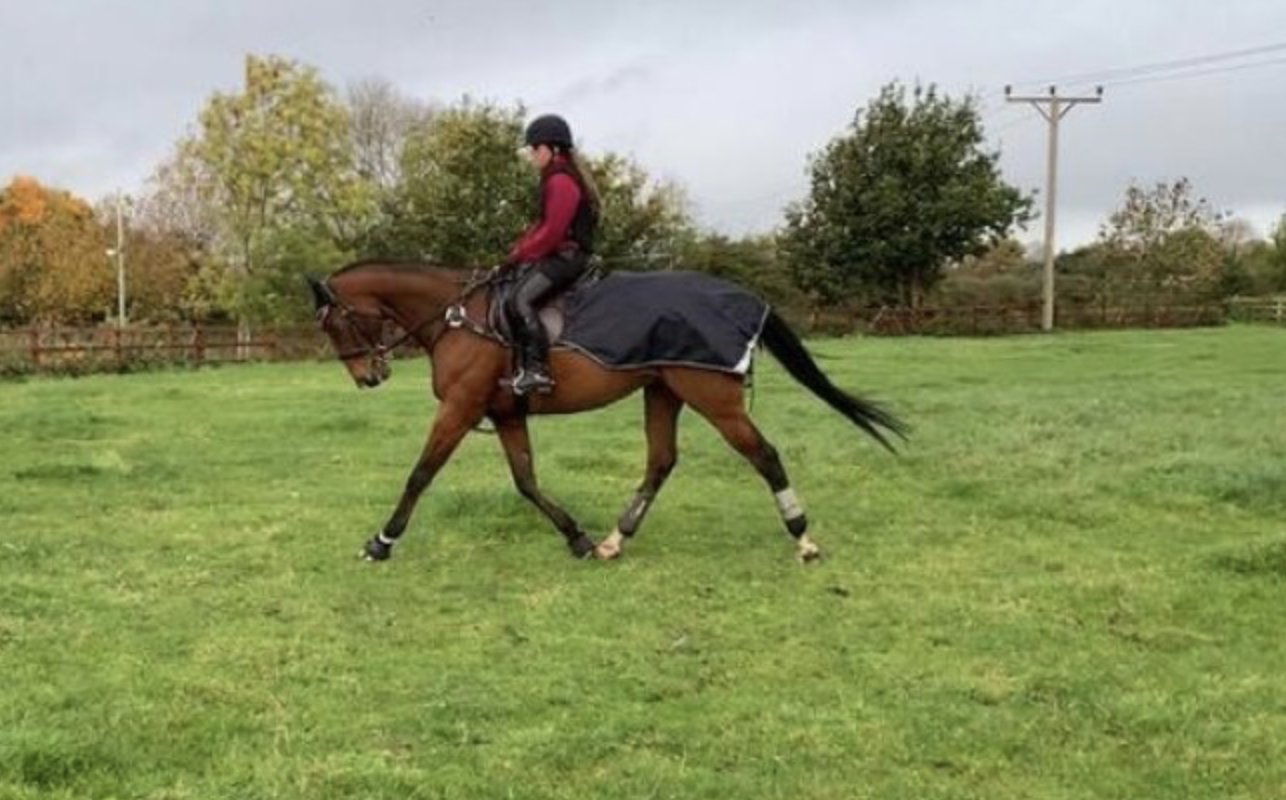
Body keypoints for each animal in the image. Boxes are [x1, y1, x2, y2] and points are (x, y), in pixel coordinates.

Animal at [308, 260, 907, 564]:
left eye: (334, 323)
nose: (368, 377)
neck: (457, 317)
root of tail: (740, 298)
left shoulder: (459, 408)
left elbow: (420, 474)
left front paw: (382, 541)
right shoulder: (505, 414)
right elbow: (526, 481)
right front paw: (576, 537)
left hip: (712, 397)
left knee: (764, 454)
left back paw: (802, 537)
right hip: (663, 392)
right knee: (661, 461)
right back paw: (616, 540)